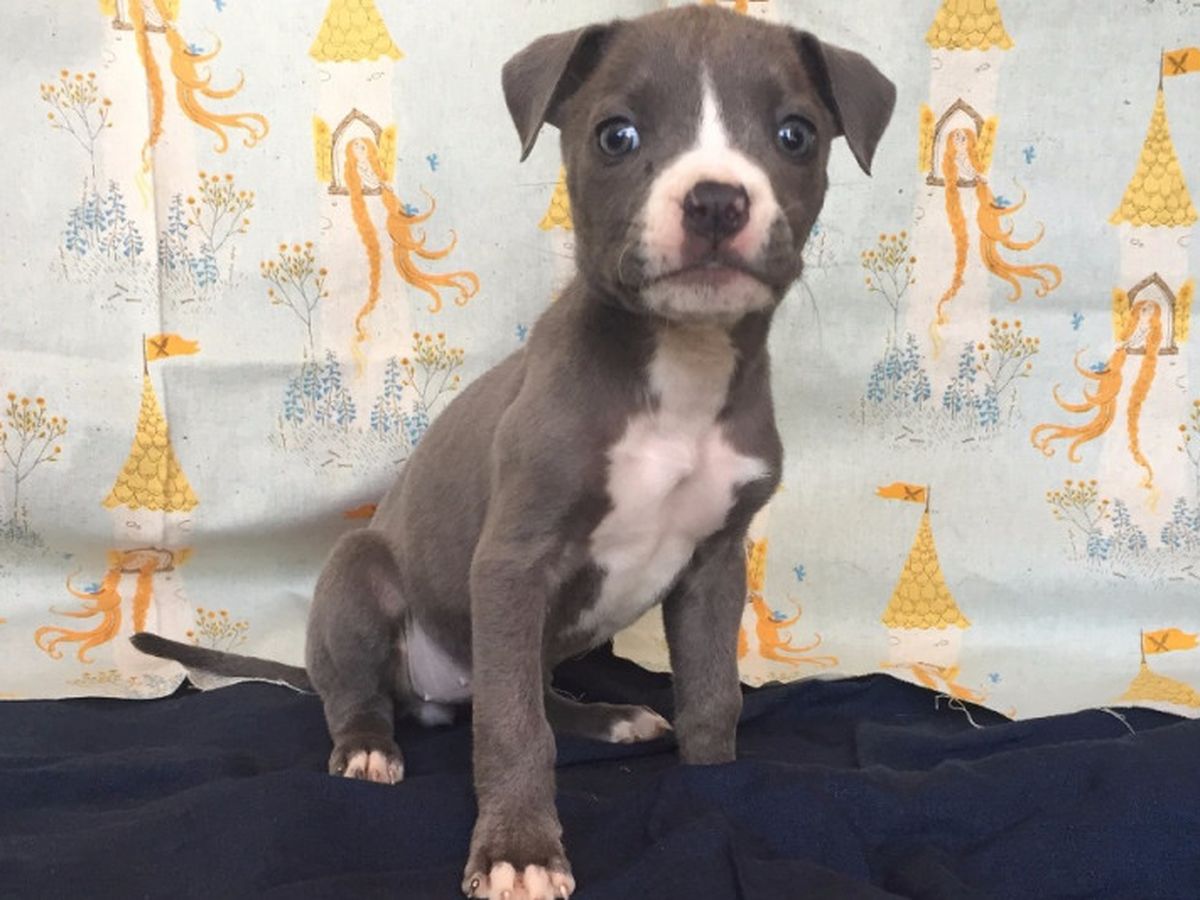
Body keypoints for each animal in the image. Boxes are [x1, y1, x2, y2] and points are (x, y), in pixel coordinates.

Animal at [133, 6, 894, 898]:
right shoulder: (513, 563)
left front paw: (716, 782)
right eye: (616, 135)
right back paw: (368, 747)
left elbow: (712, 693)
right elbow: (514, 729)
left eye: (794, 134)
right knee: (369, 693)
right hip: (361, 577)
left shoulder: (714, 565)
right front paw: (519, 851)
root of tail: (435, 695)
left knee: (527, 688)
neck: (679, 366)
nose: (715, 201)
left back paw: (609, 715)